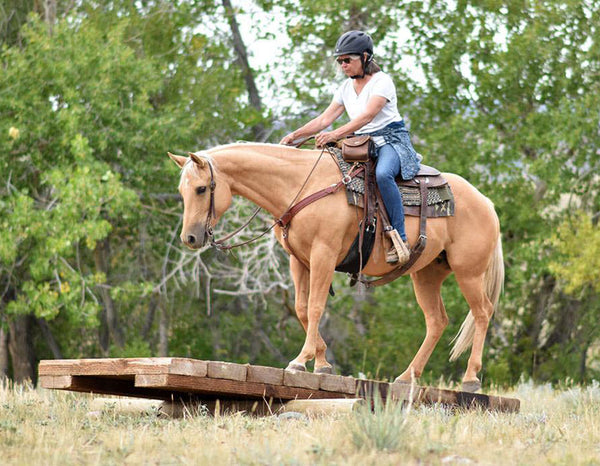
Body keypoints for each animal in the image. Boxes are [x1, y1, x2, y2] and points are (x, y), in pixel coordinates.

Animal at [168, 143, 502, 394]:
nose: (190, 238)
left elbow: (316, 306)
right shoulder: (299, 261)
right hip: (426, 273)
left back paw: (470, 379)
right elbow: (302, 309)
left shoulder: (323, 254)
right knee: (436, 321)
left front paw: (300, 361)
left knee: (482, 312)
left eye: (201, 189)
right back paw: (407, 376)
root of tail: (485, 201)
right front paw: (322, 363)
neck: (302, 186)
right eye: (182, 191)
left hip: (469, 272)